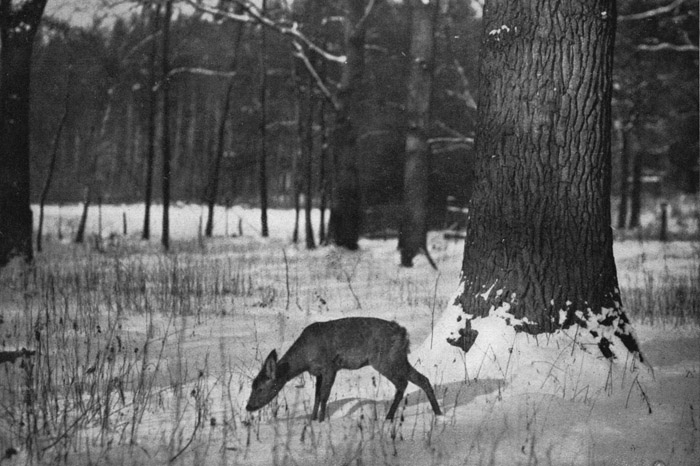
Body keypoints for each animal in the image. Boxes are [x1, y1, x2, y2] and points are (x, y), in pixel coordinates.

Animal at [247, 316, 442, 422]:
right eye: (252, 385)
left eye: (260, 388)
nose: (249, 407)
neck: (305, 357)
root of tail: (403, 333)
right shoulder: (318, 372)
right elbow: (317, 397)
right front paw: (312, 420)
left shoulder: (330, 366)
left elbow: (324, 397)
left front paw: (321, 422)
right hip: (399, 359)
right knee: (422, 379)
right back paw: (438, 413)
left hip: (384, 360)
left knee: (402, 383)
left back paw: (388, 417)